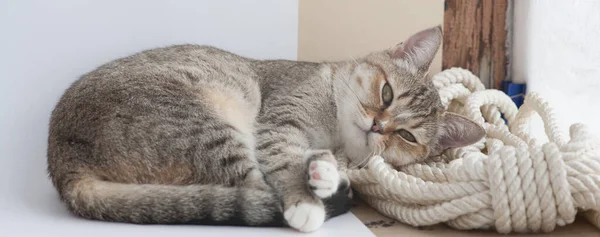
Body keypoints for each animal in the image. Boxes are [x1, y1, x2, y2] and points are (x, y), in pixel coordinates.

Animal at [48, 25, 488, 231]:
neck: (333, 133)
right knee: (252, 187)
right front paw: (306, 194)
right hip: (205, 125)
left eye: (408, 136)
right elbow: (283, 161)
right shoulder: (279, 123)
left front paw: (326, 170)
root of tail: (63, 162)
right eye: (387, 93)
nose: (379, 127)